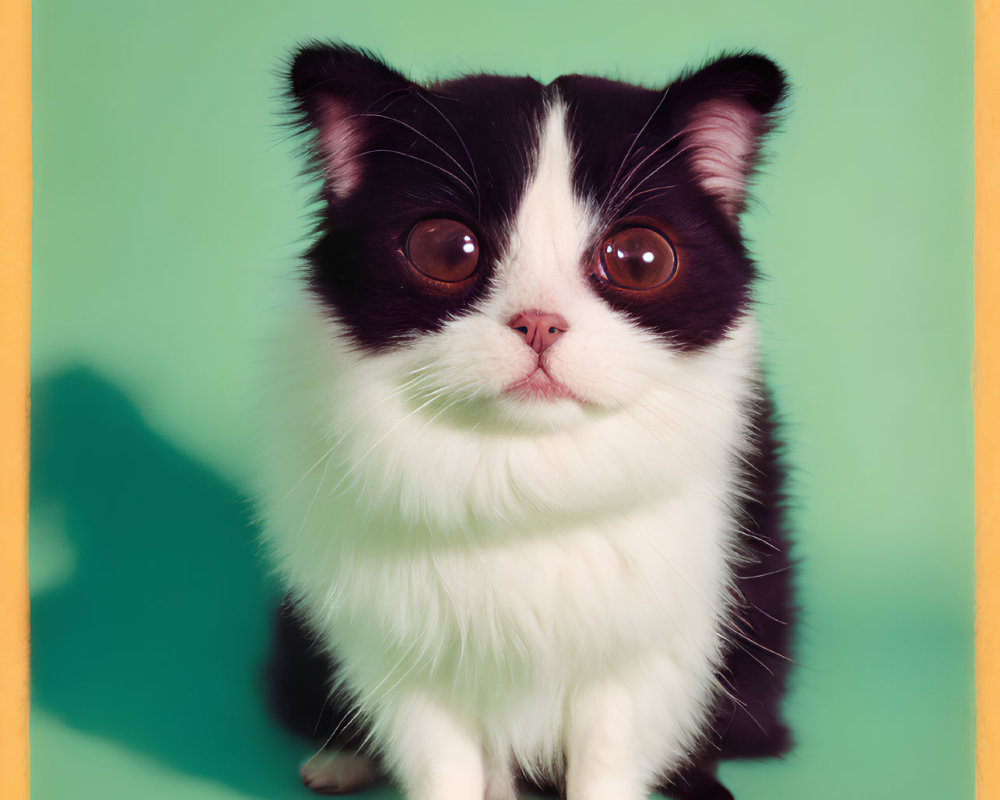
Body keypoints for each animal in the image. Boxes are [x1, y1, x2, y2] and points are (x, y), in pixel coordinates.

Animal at [260, 42, 796, 800]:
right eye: (446, 250)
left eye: (640, 260)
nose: (539, 322)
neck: (521, 463)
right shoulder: (402, 647)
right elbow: (444, 765)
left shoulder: (640, 650)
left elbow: (605, 758)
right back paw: (340, 760)